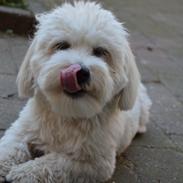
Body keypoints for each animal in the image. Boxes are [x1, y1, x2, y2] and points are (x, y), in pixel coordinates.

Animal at [0, 1, 152, 183]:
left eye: (100, 52)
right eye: (62, 45)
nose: (80, 72)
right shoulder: (21, 131)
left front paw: (24, 173)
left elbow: (54, 162)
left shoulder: (94, 164)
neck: (67, 113)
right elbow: (9, 148)